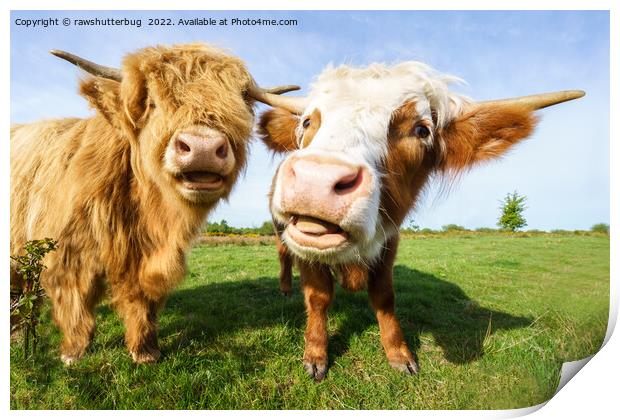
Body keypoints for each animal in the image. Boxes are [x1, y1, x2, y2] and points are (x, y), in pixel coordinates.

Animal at [9, 43, 296, 364]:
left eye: (240, 103)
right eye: (153, 104)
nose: (203, 147)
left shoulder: (145, 257)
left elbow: (141, 299)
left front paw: (145, 351)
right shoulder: (68, 254)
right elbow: (74, 300)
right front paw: (73, 353)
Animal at [256, 61, 580, 380]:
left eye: (421, 129)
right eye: (307, 122)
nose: (316, 179)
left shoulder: (390, 242)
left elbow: (384, 296)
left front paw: (398, 353)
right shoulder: (305, 248)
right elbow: (319, 297)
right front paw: (316, 355)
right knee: (283, 255)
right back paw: (285, 288)